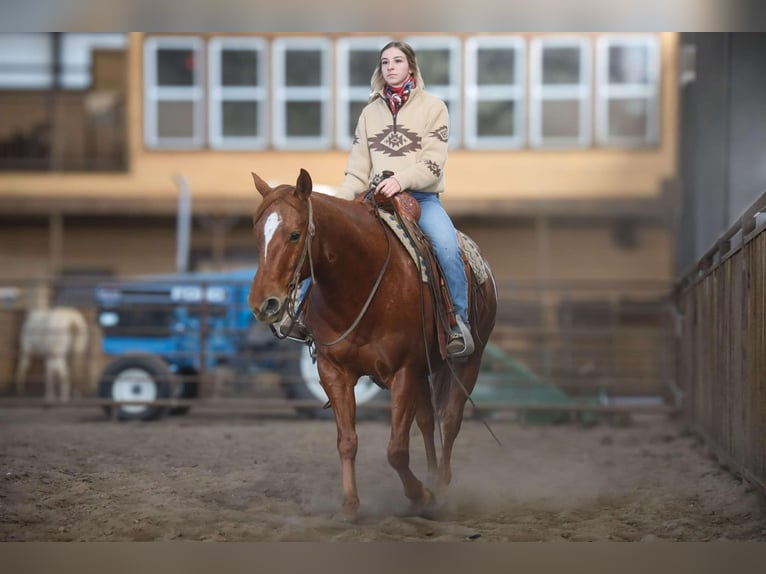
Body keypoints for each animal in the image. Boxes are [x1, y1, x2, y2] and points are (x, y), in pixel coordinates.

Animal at [247, 168, 498, 521]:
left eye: (295, 235)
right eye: (257, 235)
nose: (263, 303)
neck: (360, 281)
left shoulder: (403, 372)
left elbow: (396, 450)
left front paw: (420, 496)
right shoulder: (334, 371)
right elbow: (347, 440)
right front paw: (350, 506)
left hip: (468, 362)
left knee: (449, 420)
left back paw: (441, 489)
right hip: (425, 370)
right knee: (426, 421)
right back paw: (433, 477)